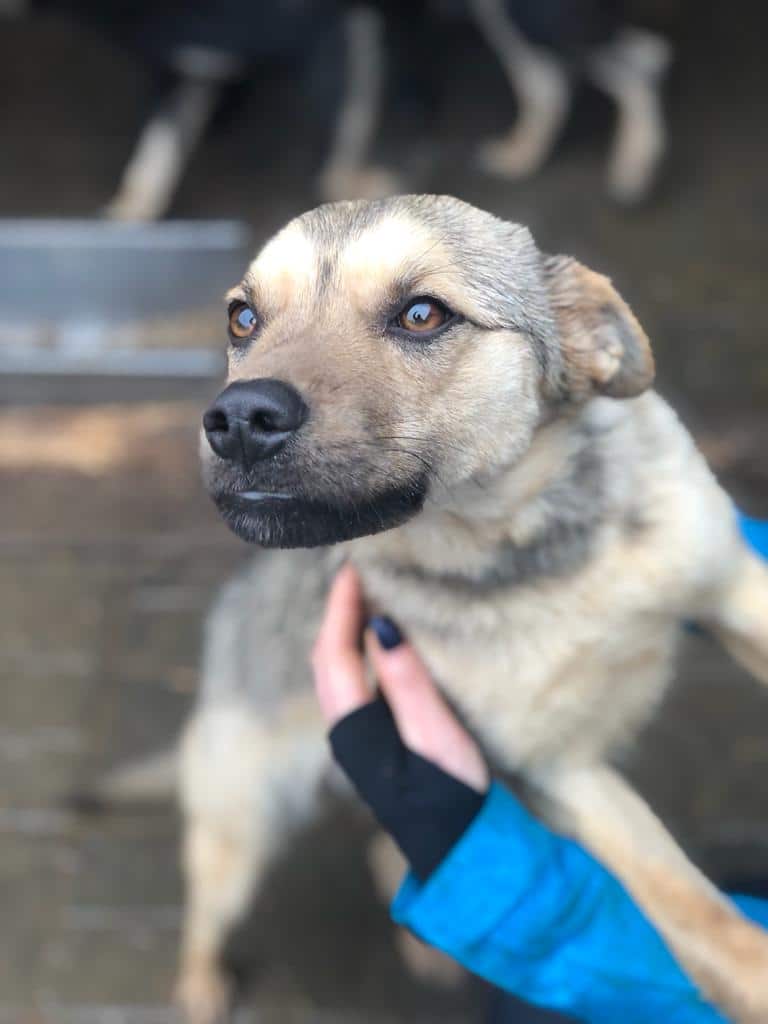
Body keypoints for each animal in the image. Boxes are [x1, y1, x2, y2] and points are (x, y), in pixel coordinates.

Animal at [183, 193, 768, 1024]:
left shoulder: (735, 586)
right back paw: (199, 987)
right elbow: (689, 905)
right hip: (241, 819)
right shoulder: (556, 767)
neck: (534, 551)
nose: (236, 420)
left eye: (423, 314)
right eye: (242, 318)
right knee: (208, 909)